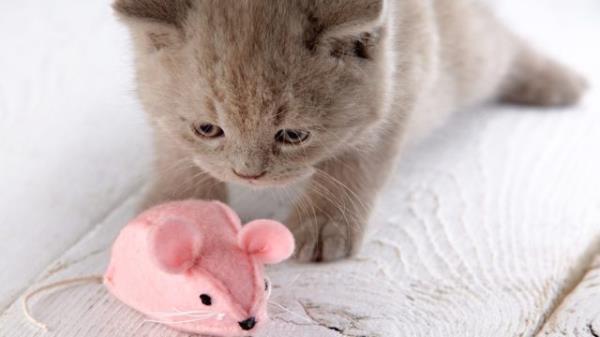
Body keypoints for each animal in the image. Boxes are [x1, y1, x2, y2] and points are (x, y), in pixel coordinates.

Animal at [112, 0, 584, 262]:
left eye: (293, 136)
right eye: (208, 128)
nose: (249, 175)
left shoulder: (407, 72)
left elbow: (357, 160)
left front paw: (326, 223)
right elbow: (174, 149)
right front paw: (179, 210)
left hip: (466, 56)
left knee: (500, 45)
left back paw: (557, 82)